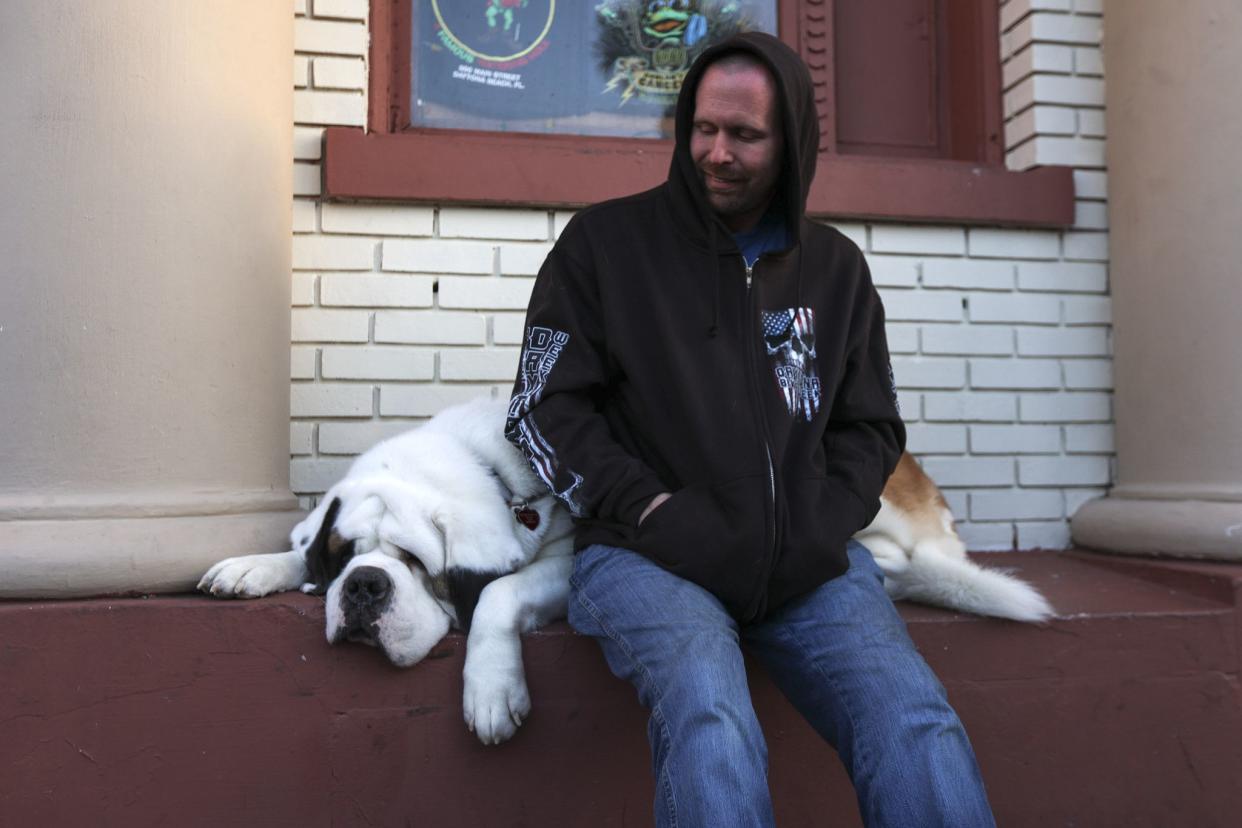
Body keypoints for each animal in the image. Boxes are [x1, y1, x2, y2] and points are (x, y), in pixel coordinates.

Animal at [198, 394, 1053, 744]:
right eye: (345, 556)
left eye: (416, 563)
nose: (364, 589)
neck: (502, 482)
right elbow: (291, 549)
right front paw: (253, 565)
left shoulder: (570, 558)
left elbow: (499, 593)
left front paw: (491, 692)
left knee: (907, 556)